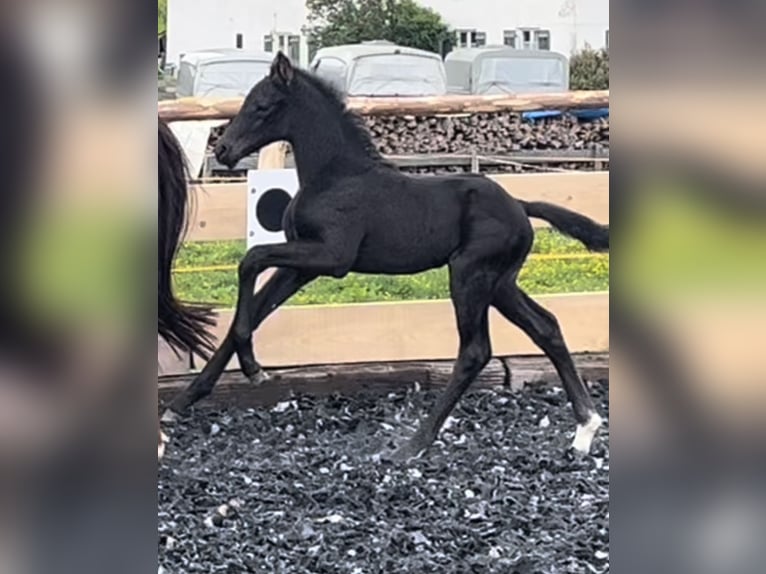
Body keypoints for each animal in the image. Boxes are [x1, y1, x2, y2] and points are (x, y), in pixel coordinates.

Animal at [170, 53, 612, 460]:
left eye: (262, 105)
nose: (224, 149)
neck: (336, 176)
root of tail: (520, 205)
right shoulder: (301, 268)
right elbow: (253, 308)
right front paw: (187, 399)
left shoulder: (331, 258)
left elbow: (251, 260)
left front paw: (252, 369)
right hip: (500, 283)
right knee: (546, 327)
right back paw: (585, 429)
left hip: (469, 275)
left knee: (475, 350)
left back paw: (414, 444)